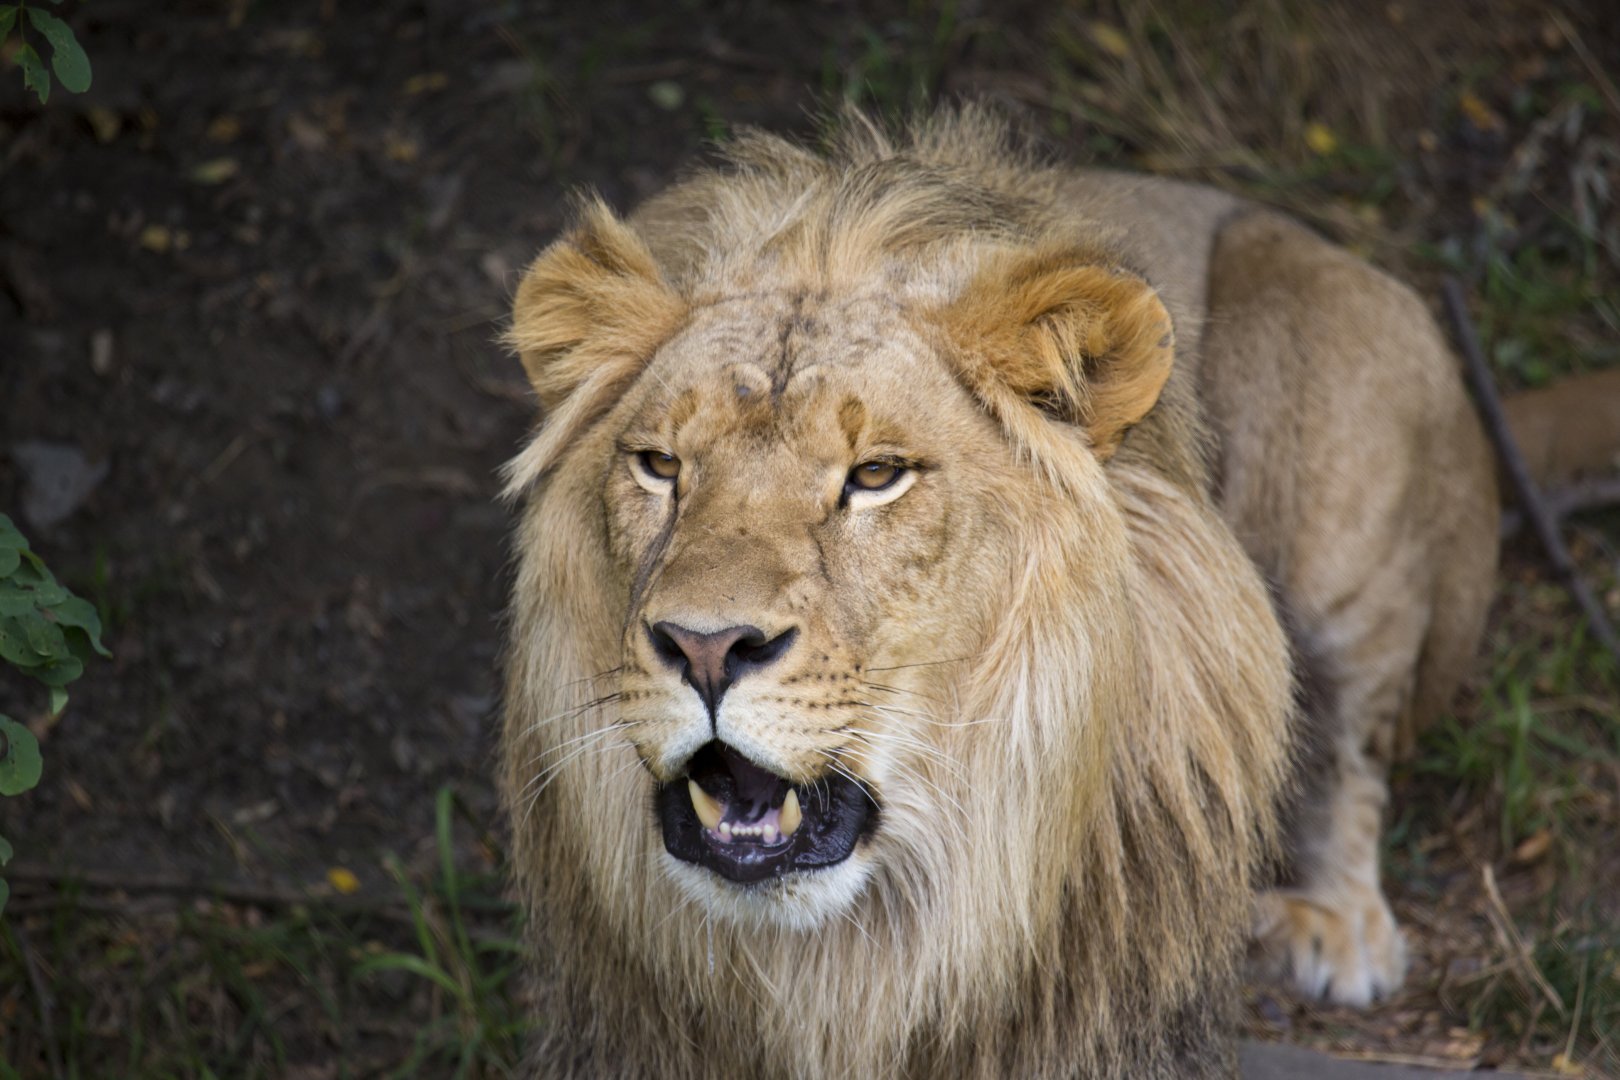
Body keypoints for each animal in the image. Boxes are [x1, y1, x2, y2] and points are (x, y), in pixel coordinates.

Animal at [496, 108, 1499, 1077]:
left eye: (876, 475)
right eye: (661, 466)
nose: (705, 647)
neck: (838, 969)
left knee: (1355, 747)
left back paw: (1339, 924)